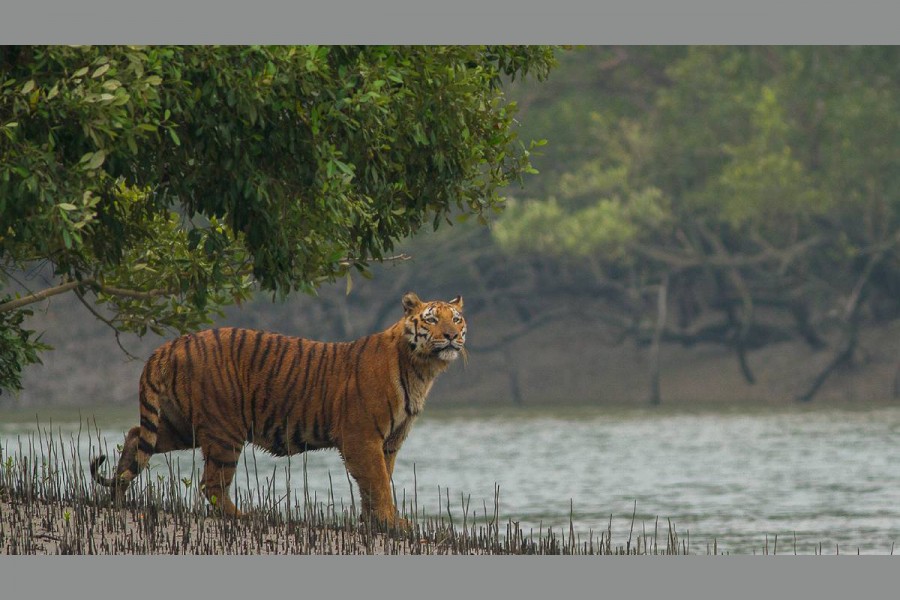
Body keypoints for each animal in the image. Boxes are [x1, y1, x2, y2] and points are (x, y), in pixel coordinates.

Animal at [91, 292, 468, 528]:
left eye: (457, 319)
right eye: (431, 320)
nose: (452, 336)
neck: (421, 369)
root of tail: (170, 344)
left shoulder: (389, 442)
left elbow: (377, 483)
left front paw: (375, 522)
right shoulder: (362, 437)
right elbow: (377, 482)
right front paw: (392, 523)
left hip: (181, 425)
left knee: (136, 436)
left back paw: (117, 497)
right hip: (224, 430)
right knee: (211, 484)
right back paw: (244, 517)